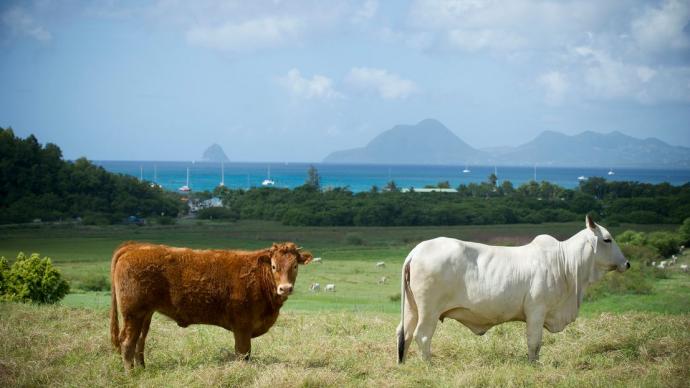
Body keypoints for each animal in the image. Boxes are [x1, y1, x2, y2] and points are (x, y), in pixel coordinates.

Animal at [108, 239, 312, 370]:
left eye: (295, 266)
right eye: (274, 266)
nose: (285, 288)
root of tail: (133, 246)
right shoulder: (242, 326)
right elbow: (243, 353)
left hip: (145, 314)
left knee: (139, 341)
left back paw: (142, 370)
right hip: (132, 313)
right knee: (127, 342)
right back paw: (131, 375)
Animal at [398, 215, 628, 364]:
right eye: (607, 239)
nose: (627, 263)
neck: (565, 263)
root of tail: (417, 250)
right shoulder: (536, 311)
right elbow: (534, 342)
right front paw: (533, 365)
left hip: (412, 308)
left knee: (404, 333)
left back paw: (404, 364)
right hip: (429, 311)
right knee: (422, 336)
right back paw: (429, 365)